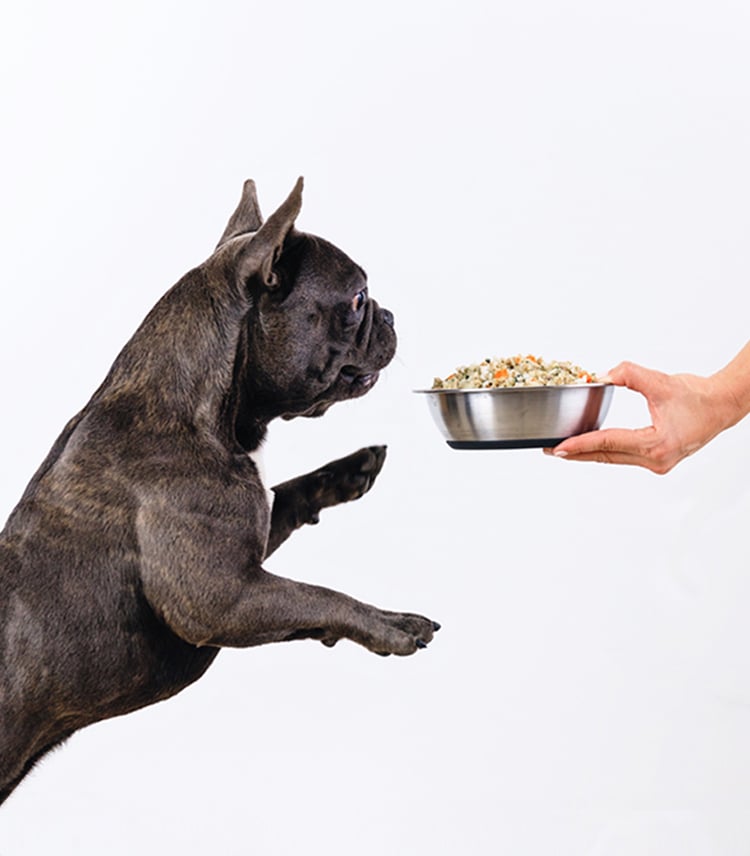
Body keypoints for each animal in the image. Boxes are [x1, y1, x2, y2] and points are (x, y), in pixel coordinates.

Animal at [0, 177, 440, 804]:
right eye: (358, 298)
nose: (391, 315)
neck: (202, 410)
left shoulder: (248, 545)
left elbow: (285, 496)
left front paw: (348, 471)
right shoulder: (222, 597)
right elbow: (319, 595)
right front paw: (392, 623)